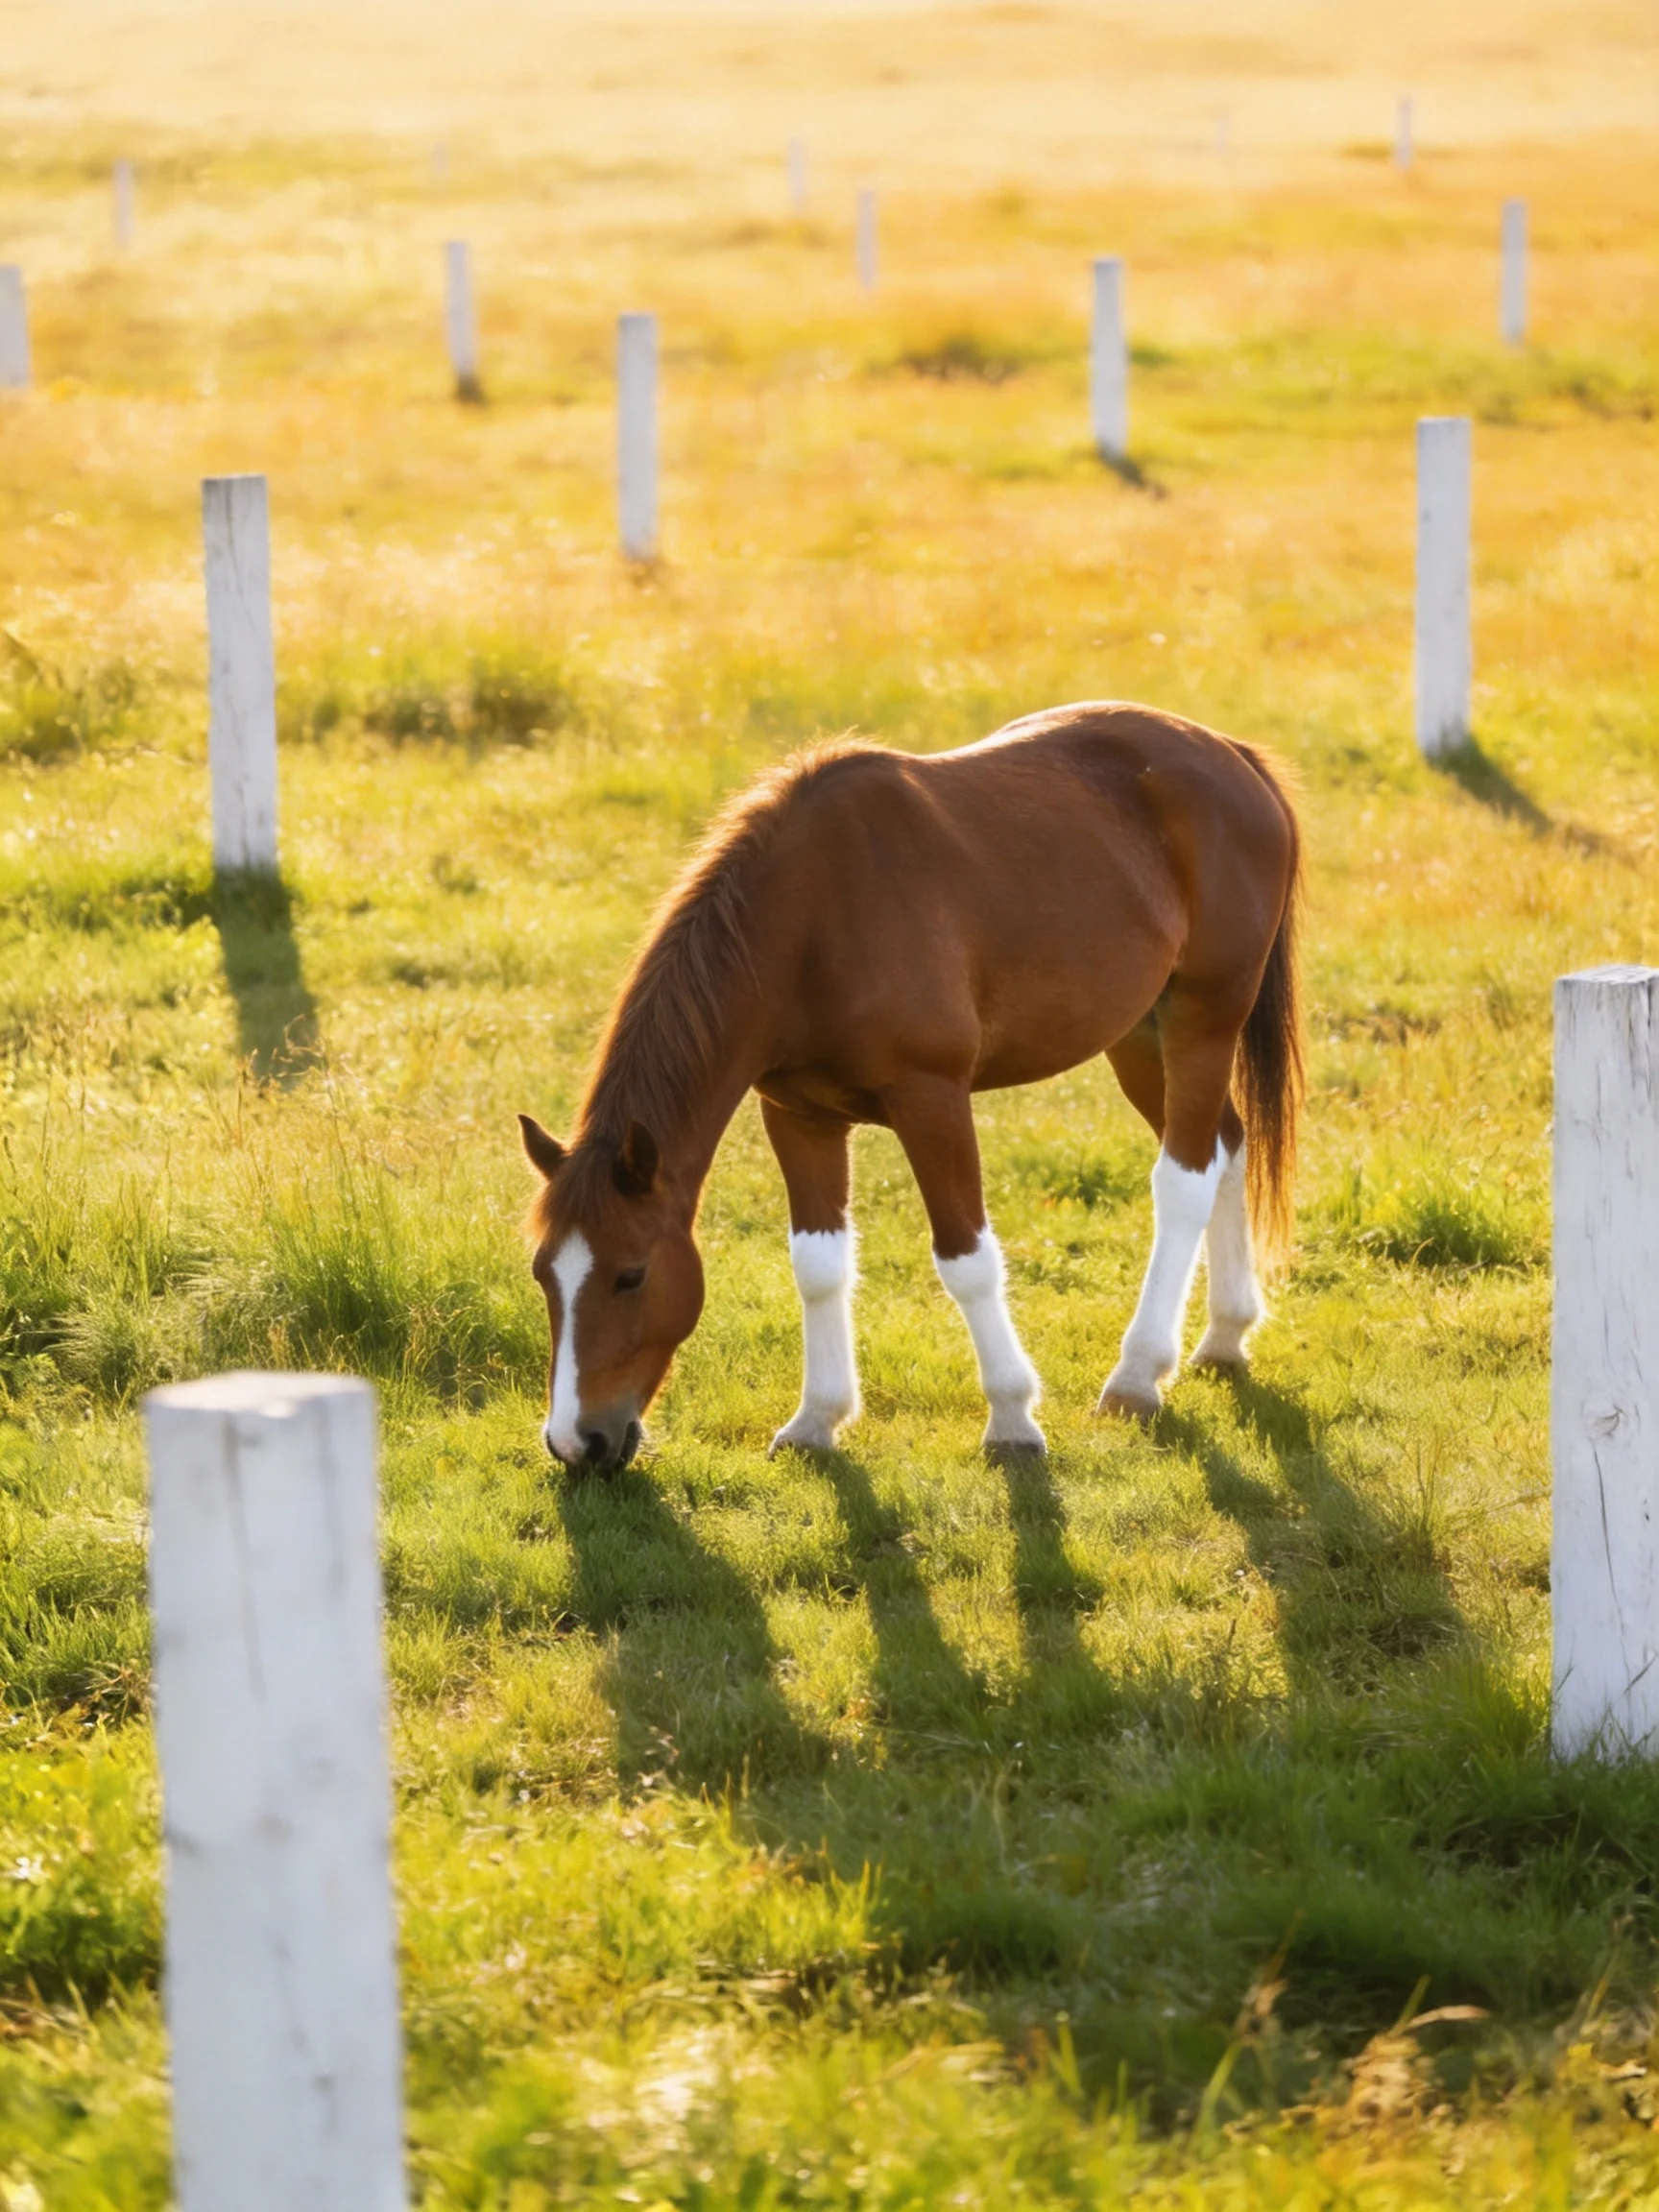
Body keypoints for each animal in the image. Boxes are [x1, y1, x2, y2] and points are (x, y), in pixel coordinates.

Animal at [519, 701, 1302, 1472]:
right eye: (543, 1275)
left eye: (630, 1275)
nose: (576, 1443)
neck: (813, 920)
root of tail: (1231, 755)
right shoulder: (797, 1114)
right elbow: (818, 1263)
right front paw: (816, 1419)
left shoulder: (933, 1100)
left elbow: (967, 1259)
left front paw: (1012, 1419)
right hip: (1139, 1036)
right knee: (1228, 1143)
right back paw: (1225, 1337)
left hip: (1204, 1019)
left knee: (1185, 1179)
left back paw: (1138, 1376)